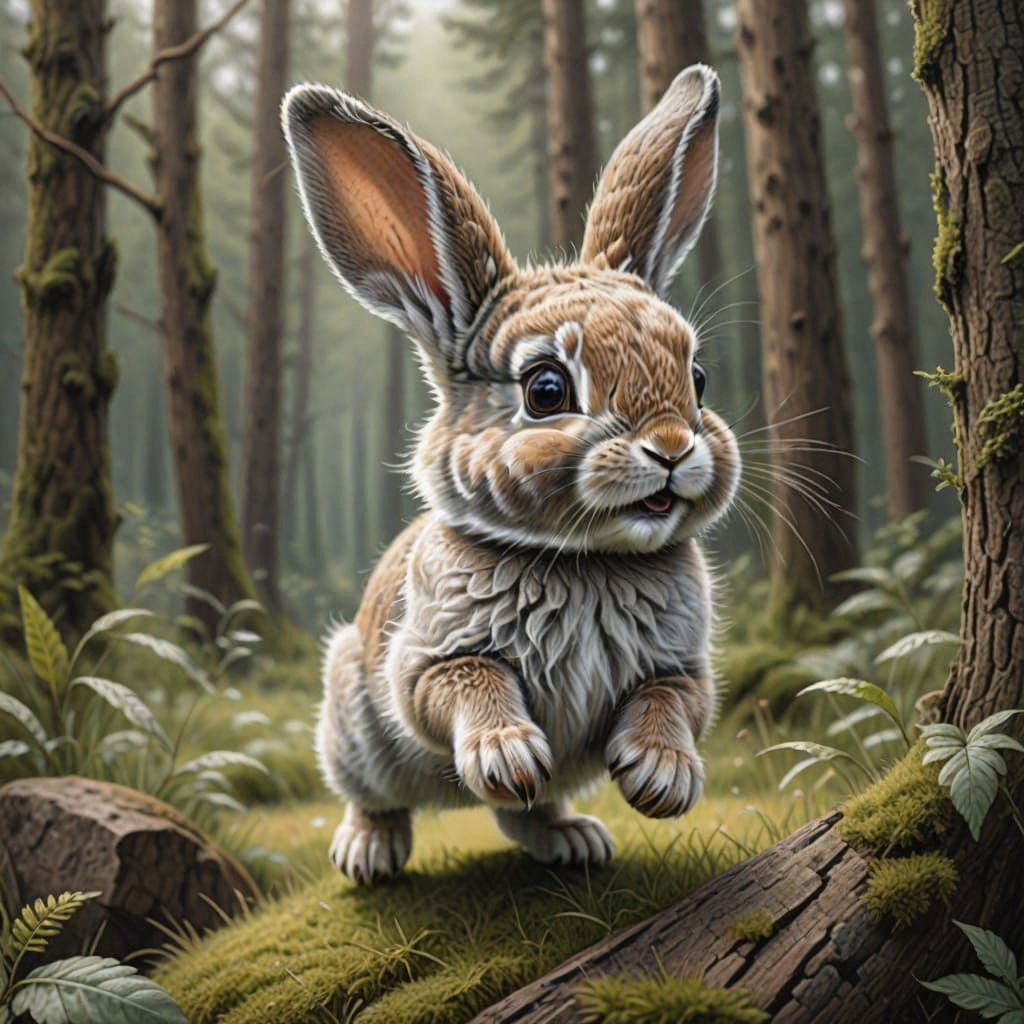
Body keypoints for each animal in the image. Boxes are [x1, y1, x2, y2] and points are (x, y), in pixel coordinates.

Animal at [282, 63, 740, 885]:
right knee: (377, 796)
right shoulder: (429, 657)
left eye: (699, 378)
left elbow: (675, 700)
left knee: (520, 815)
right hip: (350, 719)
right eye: (546, 390)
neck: (586, 562)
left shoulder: (683, 665)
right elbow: (464, 683)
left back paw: (574, 838)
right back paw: (369, 853)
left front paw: (661, 777)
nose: (671, 448)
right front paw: (507, 754)